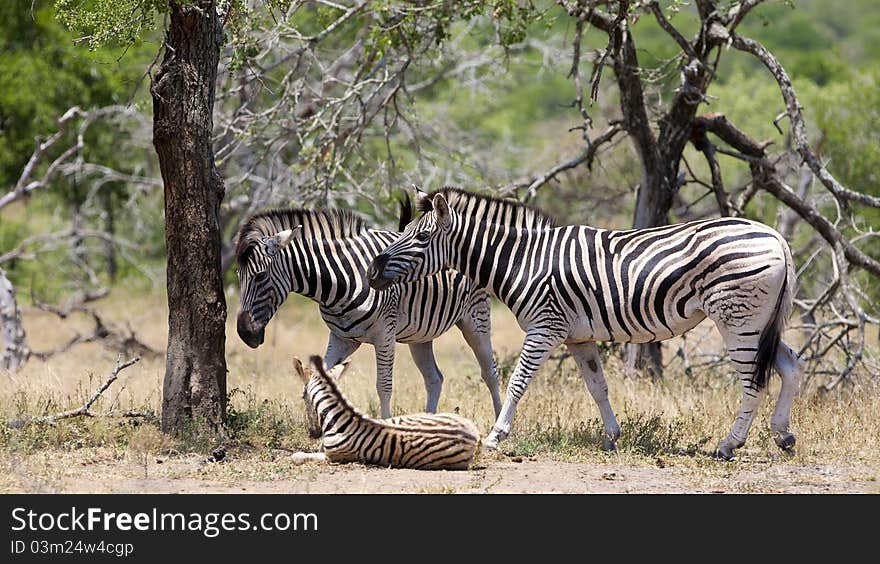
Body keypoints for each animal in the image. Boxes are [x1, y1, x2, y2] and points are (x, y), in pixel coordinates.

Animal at [235, 199, 502, 418]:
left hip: (476, 319)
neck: (337, 284)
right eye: (238, 276)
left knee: (490, 372)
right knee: (434, 378)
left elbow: (384, 386)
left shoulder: (385, 335)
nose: (244, 334)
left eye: (260, 276)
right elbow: (320, 379)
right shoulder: (342, 338)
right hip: (420, 334)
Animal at [290, 356, 482, 472]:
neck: (340, 416)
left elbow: (299, 456)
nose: (313, 433)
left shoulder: (333, 456)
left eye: (302, 397)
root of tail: (473, 435)